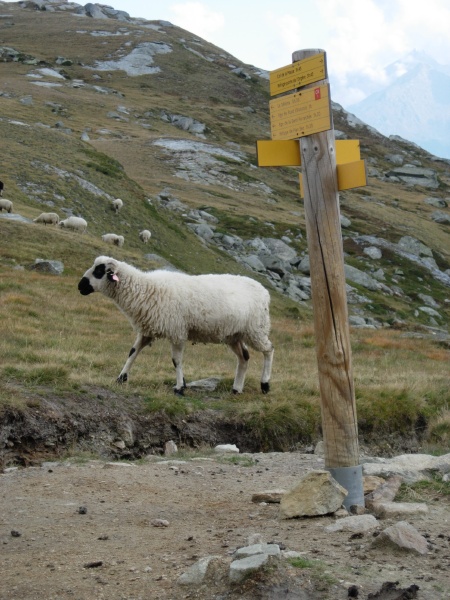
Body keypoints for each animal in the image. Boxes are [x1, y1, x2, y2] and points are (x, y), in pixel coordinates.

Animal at [78, 256, 274, 394]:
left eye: (99, 271)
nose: (80, 286)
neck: (145, 289)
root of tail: (264, 290)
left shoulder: (177, 331)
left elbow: (176, 360)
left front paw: (180, 387)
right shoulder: (148, 330)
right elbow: (132, 352)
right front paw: (121, 377)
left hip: (256, 329)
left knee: (269, 350)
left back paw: (265, 384)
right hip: (234, 335)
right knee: (244, 358)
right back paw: (237, 388)